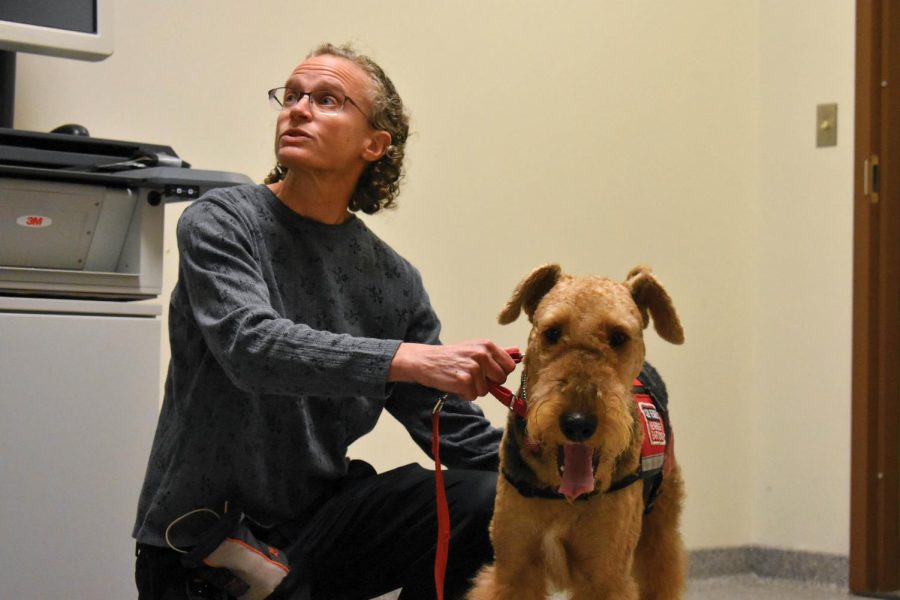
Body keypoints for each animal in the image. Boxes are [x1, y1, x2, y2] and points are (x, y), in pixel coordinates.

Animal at [468, 264, 684, 600]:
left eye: (618, 337)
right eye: (552, 332)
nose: (577, 423)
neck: (563, 496)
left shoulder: (605, 577)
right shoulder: (513, 570)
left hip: (659, 522)